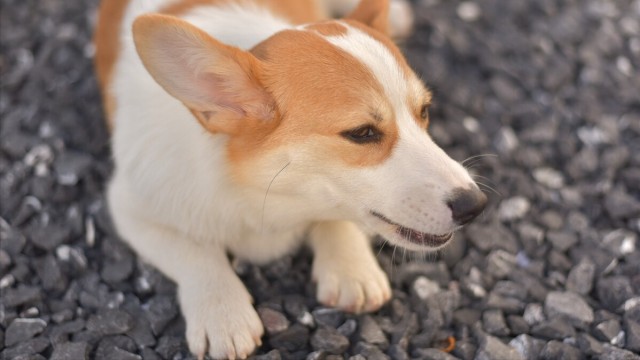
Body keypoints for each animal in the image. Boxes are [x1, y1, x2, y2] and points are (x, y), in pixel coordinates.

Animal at [94, 0, 484, 358]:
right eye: (362, 133)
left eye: (424, 112)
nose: (476, 206)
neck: (262, 196)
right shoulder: (131, 206)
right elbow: (193, 253)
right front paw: (222, 315)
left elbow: (338, 219)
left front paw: (350, 269)